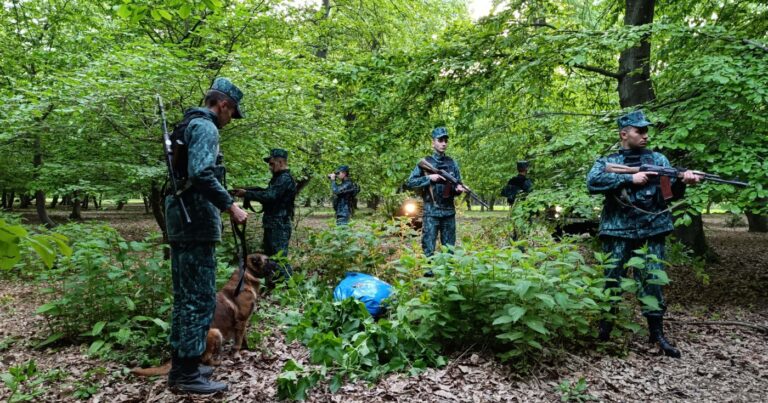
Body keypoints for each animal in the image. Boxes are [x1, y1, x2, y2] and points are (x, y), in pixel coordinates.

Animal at [132, 254, 276, 378]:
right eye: (267, 260)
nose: (278, 264)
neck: (246, 277)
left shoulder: (242, 323)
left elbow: (243, 338)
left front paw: (248, 348)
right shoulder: (241, 321)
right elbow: (238, 342)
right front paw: (237, 355)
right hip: (216, 333)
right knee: (206, 359)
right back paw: (219, 362)